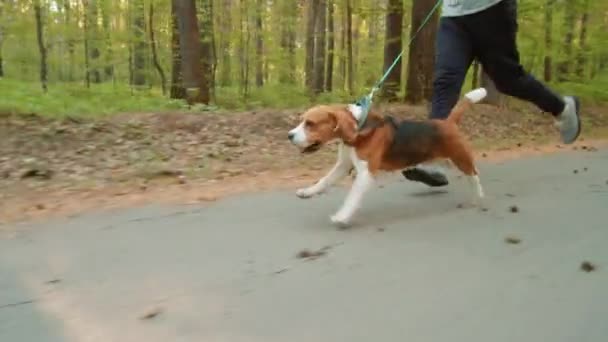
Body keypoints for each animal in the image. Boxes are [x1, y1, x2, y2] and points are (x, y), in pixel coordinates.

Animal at [286, 88, 490, 227]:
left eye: (310, 124)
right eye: (302, 120)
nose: (289, 135)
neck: (359, 126)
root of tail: (448, 123)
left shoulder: (365, 173)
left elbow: (352, 197)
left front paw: (342, 216)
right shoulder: (343, 165)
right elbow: (324, 180)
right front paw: (308, 191)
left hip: (460, 158)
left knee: (474, 175)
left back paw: (478, 196)